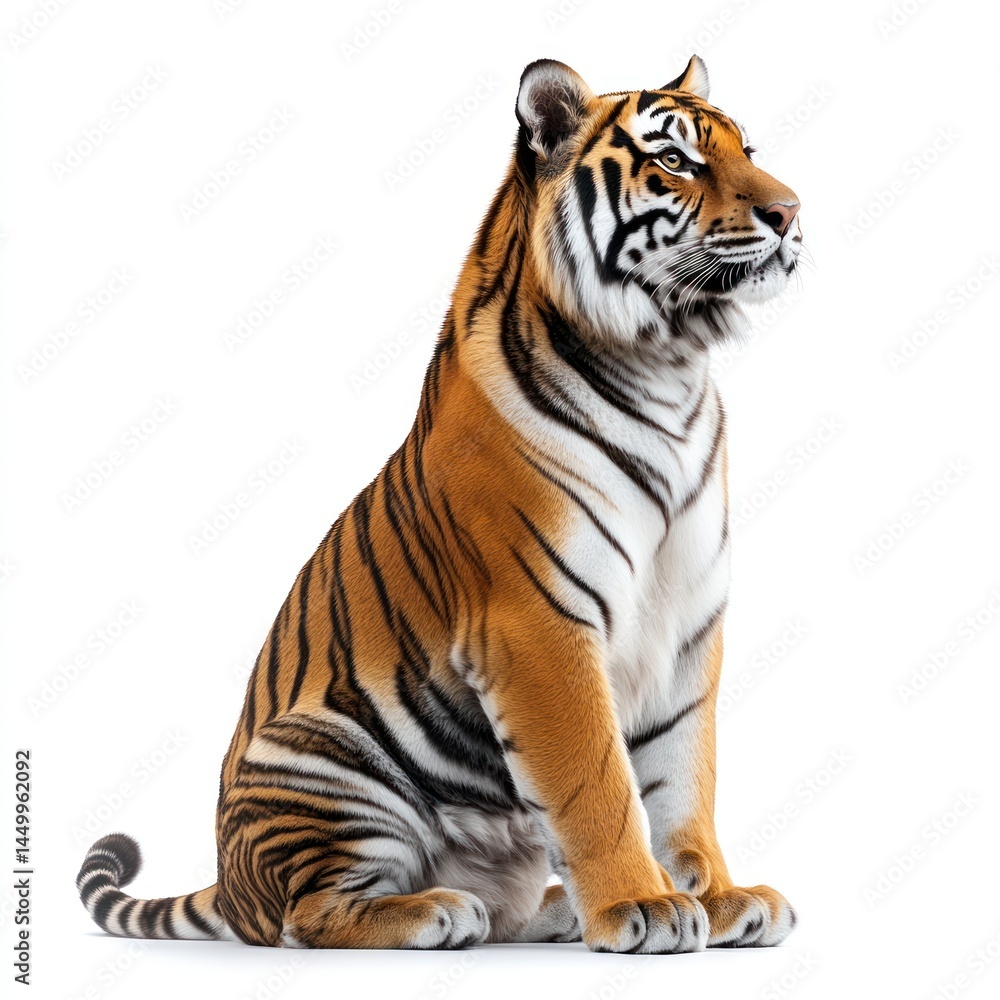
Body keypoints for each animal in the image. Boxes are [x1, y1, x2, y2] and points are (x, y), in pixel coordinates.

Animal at [78, 55, 803, 954]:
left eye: (748, 149)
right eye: (675, 161)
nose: (790, 211)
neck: (669, 368)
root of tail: (229, 881)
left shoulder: (688, 625)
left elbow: (681, 781)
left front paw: (718, 895)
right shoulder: (540, 624)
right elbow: (599, 782)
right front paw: (644, 904)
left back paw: (546, 909)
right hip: (331, 758)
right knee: (306, 918)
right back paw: (436, 910)